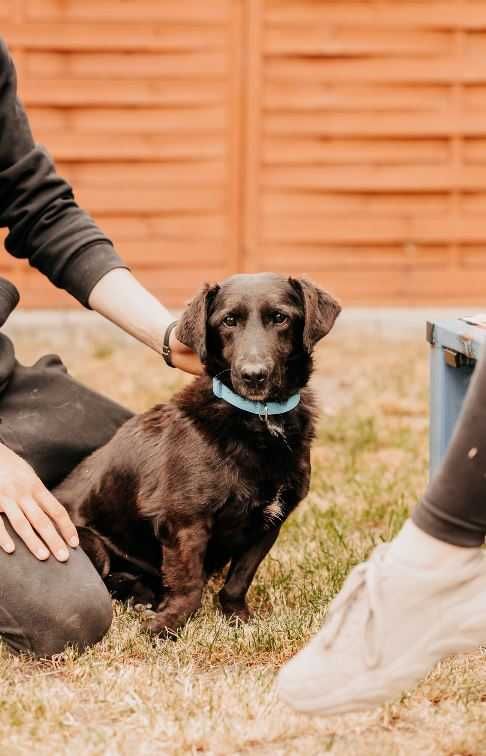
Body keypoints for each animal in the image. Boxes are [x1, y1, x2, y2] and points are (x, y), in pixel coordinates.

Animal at [53, 274, 340, 636]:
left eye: (280, 318)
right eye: (229, 321)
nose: (253, 375)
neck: (260, 419)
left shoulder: (270, 522)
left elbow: (238, 580)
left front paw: (238, 619)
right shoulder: (185, 521)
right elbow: (189, 587)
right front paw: (164, 628)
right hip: (89, 543)